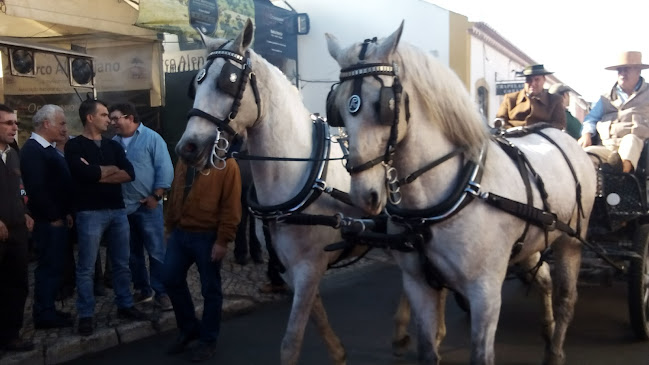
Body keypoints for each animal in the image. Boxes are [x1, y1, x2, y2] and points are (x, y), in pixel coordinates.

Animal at [175, 19, 412, 364]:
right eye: (197, 83)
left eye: (228, 82)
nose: (187, 148)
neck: (301, 171)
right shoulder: (292, 266)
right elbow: (316, 316)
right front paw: (338, 353)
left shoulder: (309, 266)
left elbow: (291, 341)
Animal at [326, 23, 596, 364]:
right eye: (337, 107)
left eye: (383, 105)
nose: (365, 195)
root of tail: (560, 136)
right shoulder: (419, 285)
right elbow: (428, 350)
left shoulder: (485, 291)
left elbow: (481, 354)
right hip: (533, 242)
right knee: (545, 279)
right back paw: (547, 331)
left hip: (571, 242)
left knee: (566, 297)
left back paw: (556, 349)